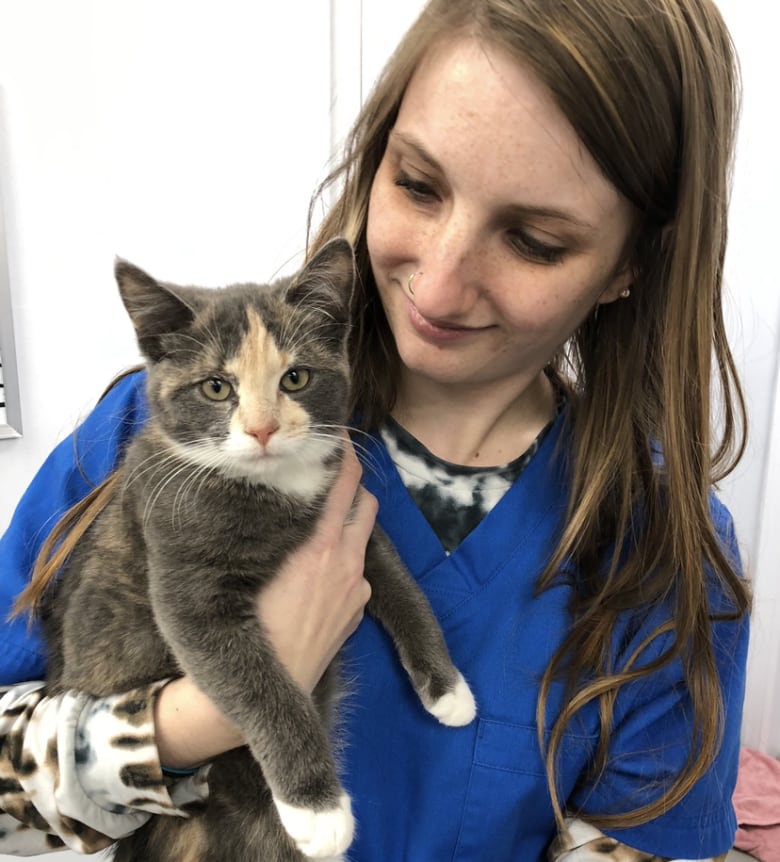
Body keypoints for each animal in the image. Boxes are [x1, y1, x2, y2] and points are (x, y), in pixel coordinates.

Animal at [41, 240, 476, 862]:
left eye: (296, 377)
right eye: (216, 387)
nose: (263, 429)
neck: (274, 486)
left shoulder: (353, 517)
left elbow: (403, 586)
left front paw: (448, 689)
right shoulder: (180, 566)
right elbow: (256, 679)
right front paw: (317, 807)